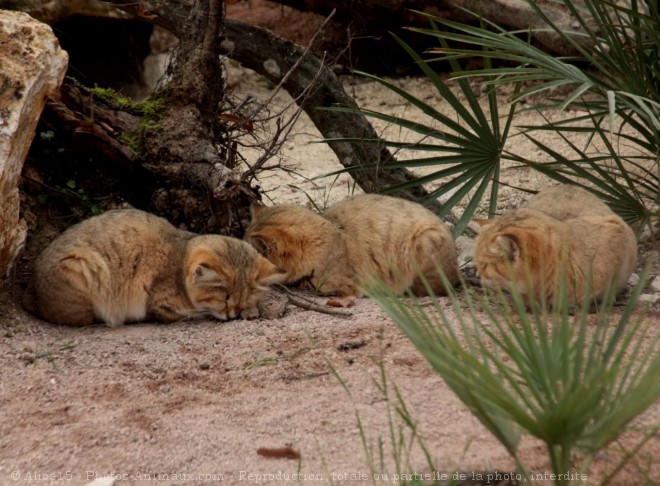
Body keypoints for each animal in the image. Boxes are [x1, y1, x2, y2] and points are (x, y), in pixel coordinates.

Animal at [23, 209, 286, 326]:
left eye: (241, 299)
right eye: (225, 297)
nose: (232, 315)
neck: (180, 258)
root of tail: (29, 294)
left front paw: (253, 309)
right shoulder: (162, 305)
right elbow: (192, 313)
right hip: (85, 266)